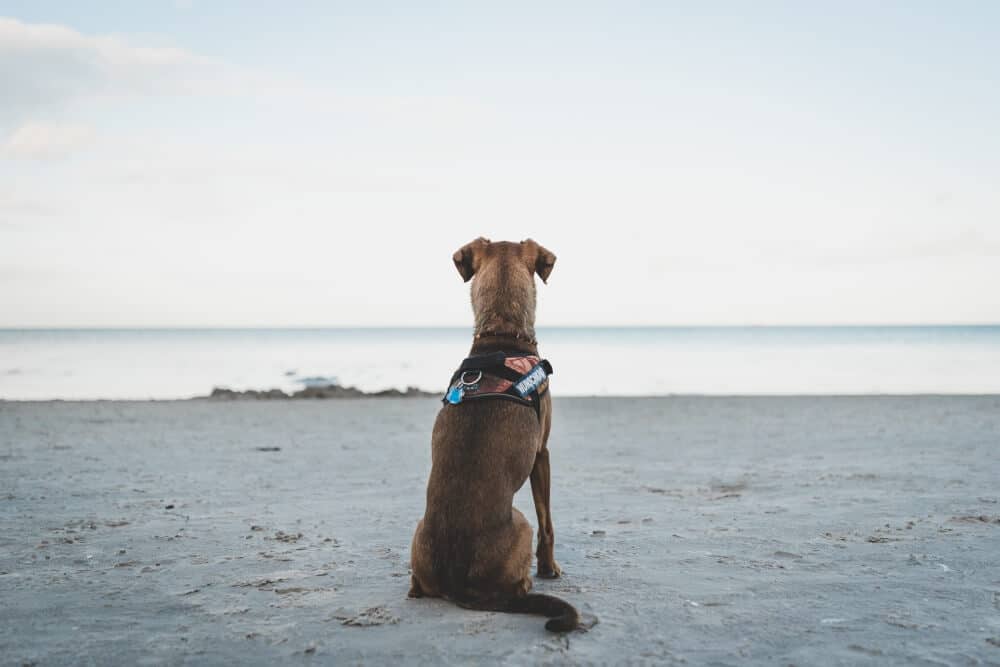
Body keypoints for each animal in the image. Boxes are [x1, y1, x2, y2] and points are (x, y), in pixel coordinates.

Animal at [406, 239, 580, 632]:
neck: (501, 333)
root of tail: (457, 582)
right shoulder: (541, 454)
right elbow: (548, 523)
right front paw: (549, 569)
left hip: (418, 532)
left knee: (415, 584)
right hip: (521, 522)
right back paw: (527, 582)